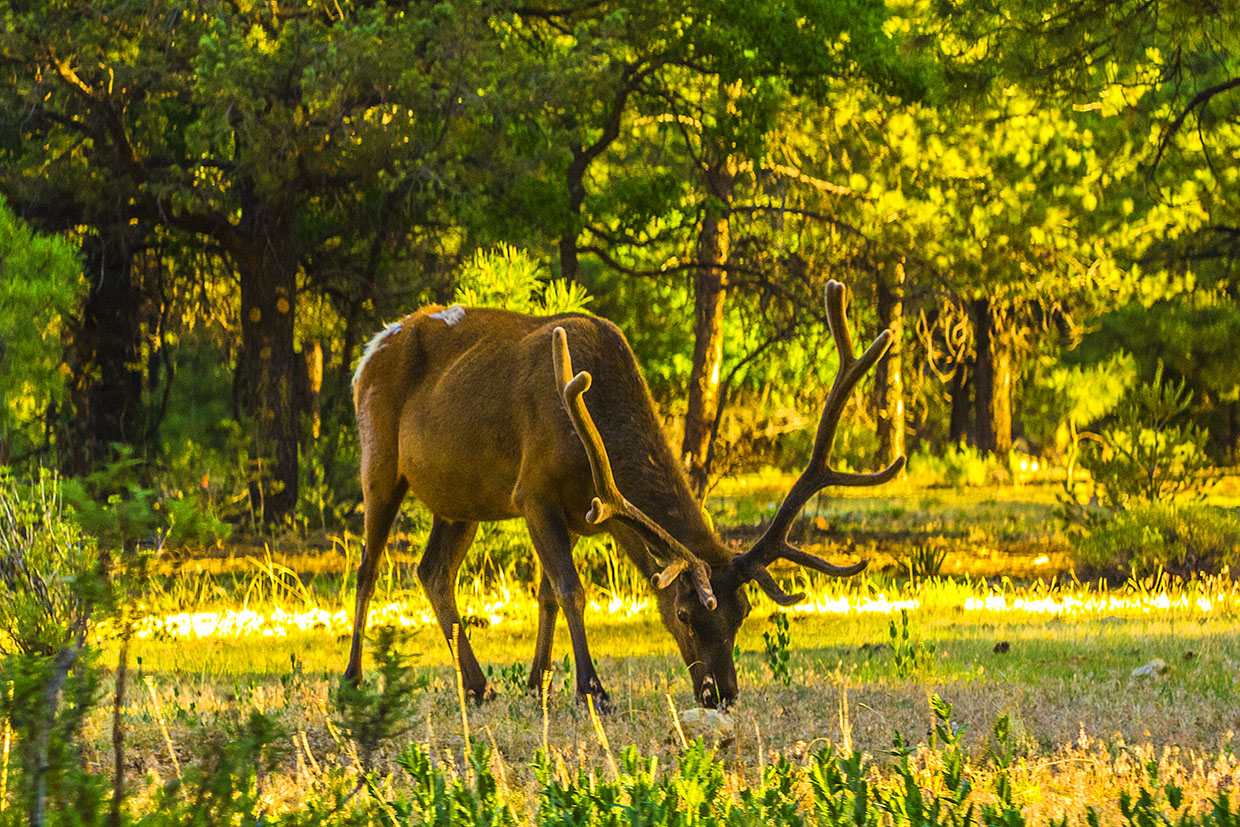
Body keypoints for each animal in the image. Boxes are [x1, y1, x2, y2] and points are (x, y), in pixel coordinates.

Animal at [344, 281, 907, 709]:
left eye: (742, 612)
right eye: (685, 615)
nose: (722, 693)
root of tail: (369, 350)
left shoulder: (591, 511)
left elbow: (547, 593)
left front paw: (537, 685)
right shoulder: (533, 491)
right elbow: (571, 589)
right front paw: (591, 689)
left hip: (461, 498)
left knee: (432, 571)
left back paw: (478, 686)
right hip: (379, 458)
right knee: (369, 567)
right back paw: (353, 678)